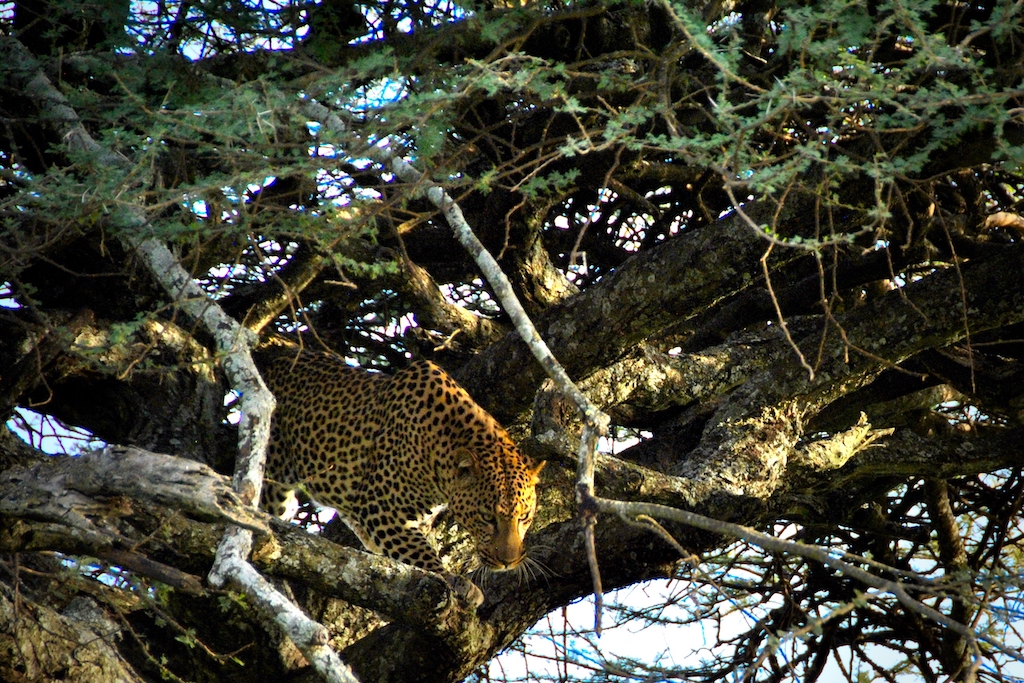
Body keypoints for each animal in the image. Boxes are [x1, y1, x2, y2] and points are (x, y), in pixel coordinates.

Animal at [256, 350, 544, 606]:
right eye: (486, 518)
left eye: (524, 517)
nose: (509, 562)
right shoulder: (382, 510)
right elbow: (421, 553)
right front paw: (453, 580)